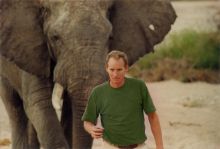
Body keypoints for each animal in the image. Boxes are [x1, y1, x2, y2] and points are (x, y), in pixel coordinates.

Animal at [0, 0, 175, 148]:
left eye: (110, 37)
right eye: (55, 37)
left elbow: (71, 111)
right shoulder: (31, 48)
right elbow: (40, 103)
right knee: (15, 108)